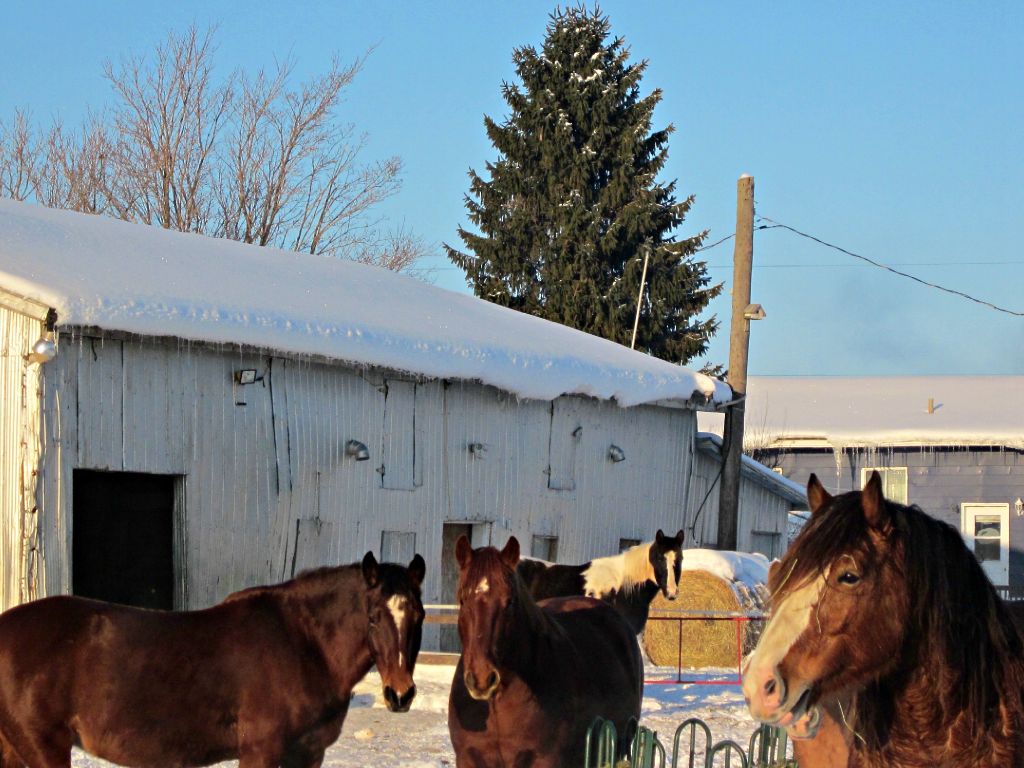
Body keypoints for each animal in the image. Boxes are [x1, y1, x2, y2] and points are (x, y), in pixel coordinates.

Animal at [0, 552, 425, 768]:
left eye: (419, 615)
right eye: (373, 617)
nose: (400, 695)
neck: (303, 645)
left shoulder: (309, 754)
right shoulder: (261, 751)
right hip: (42, 748)